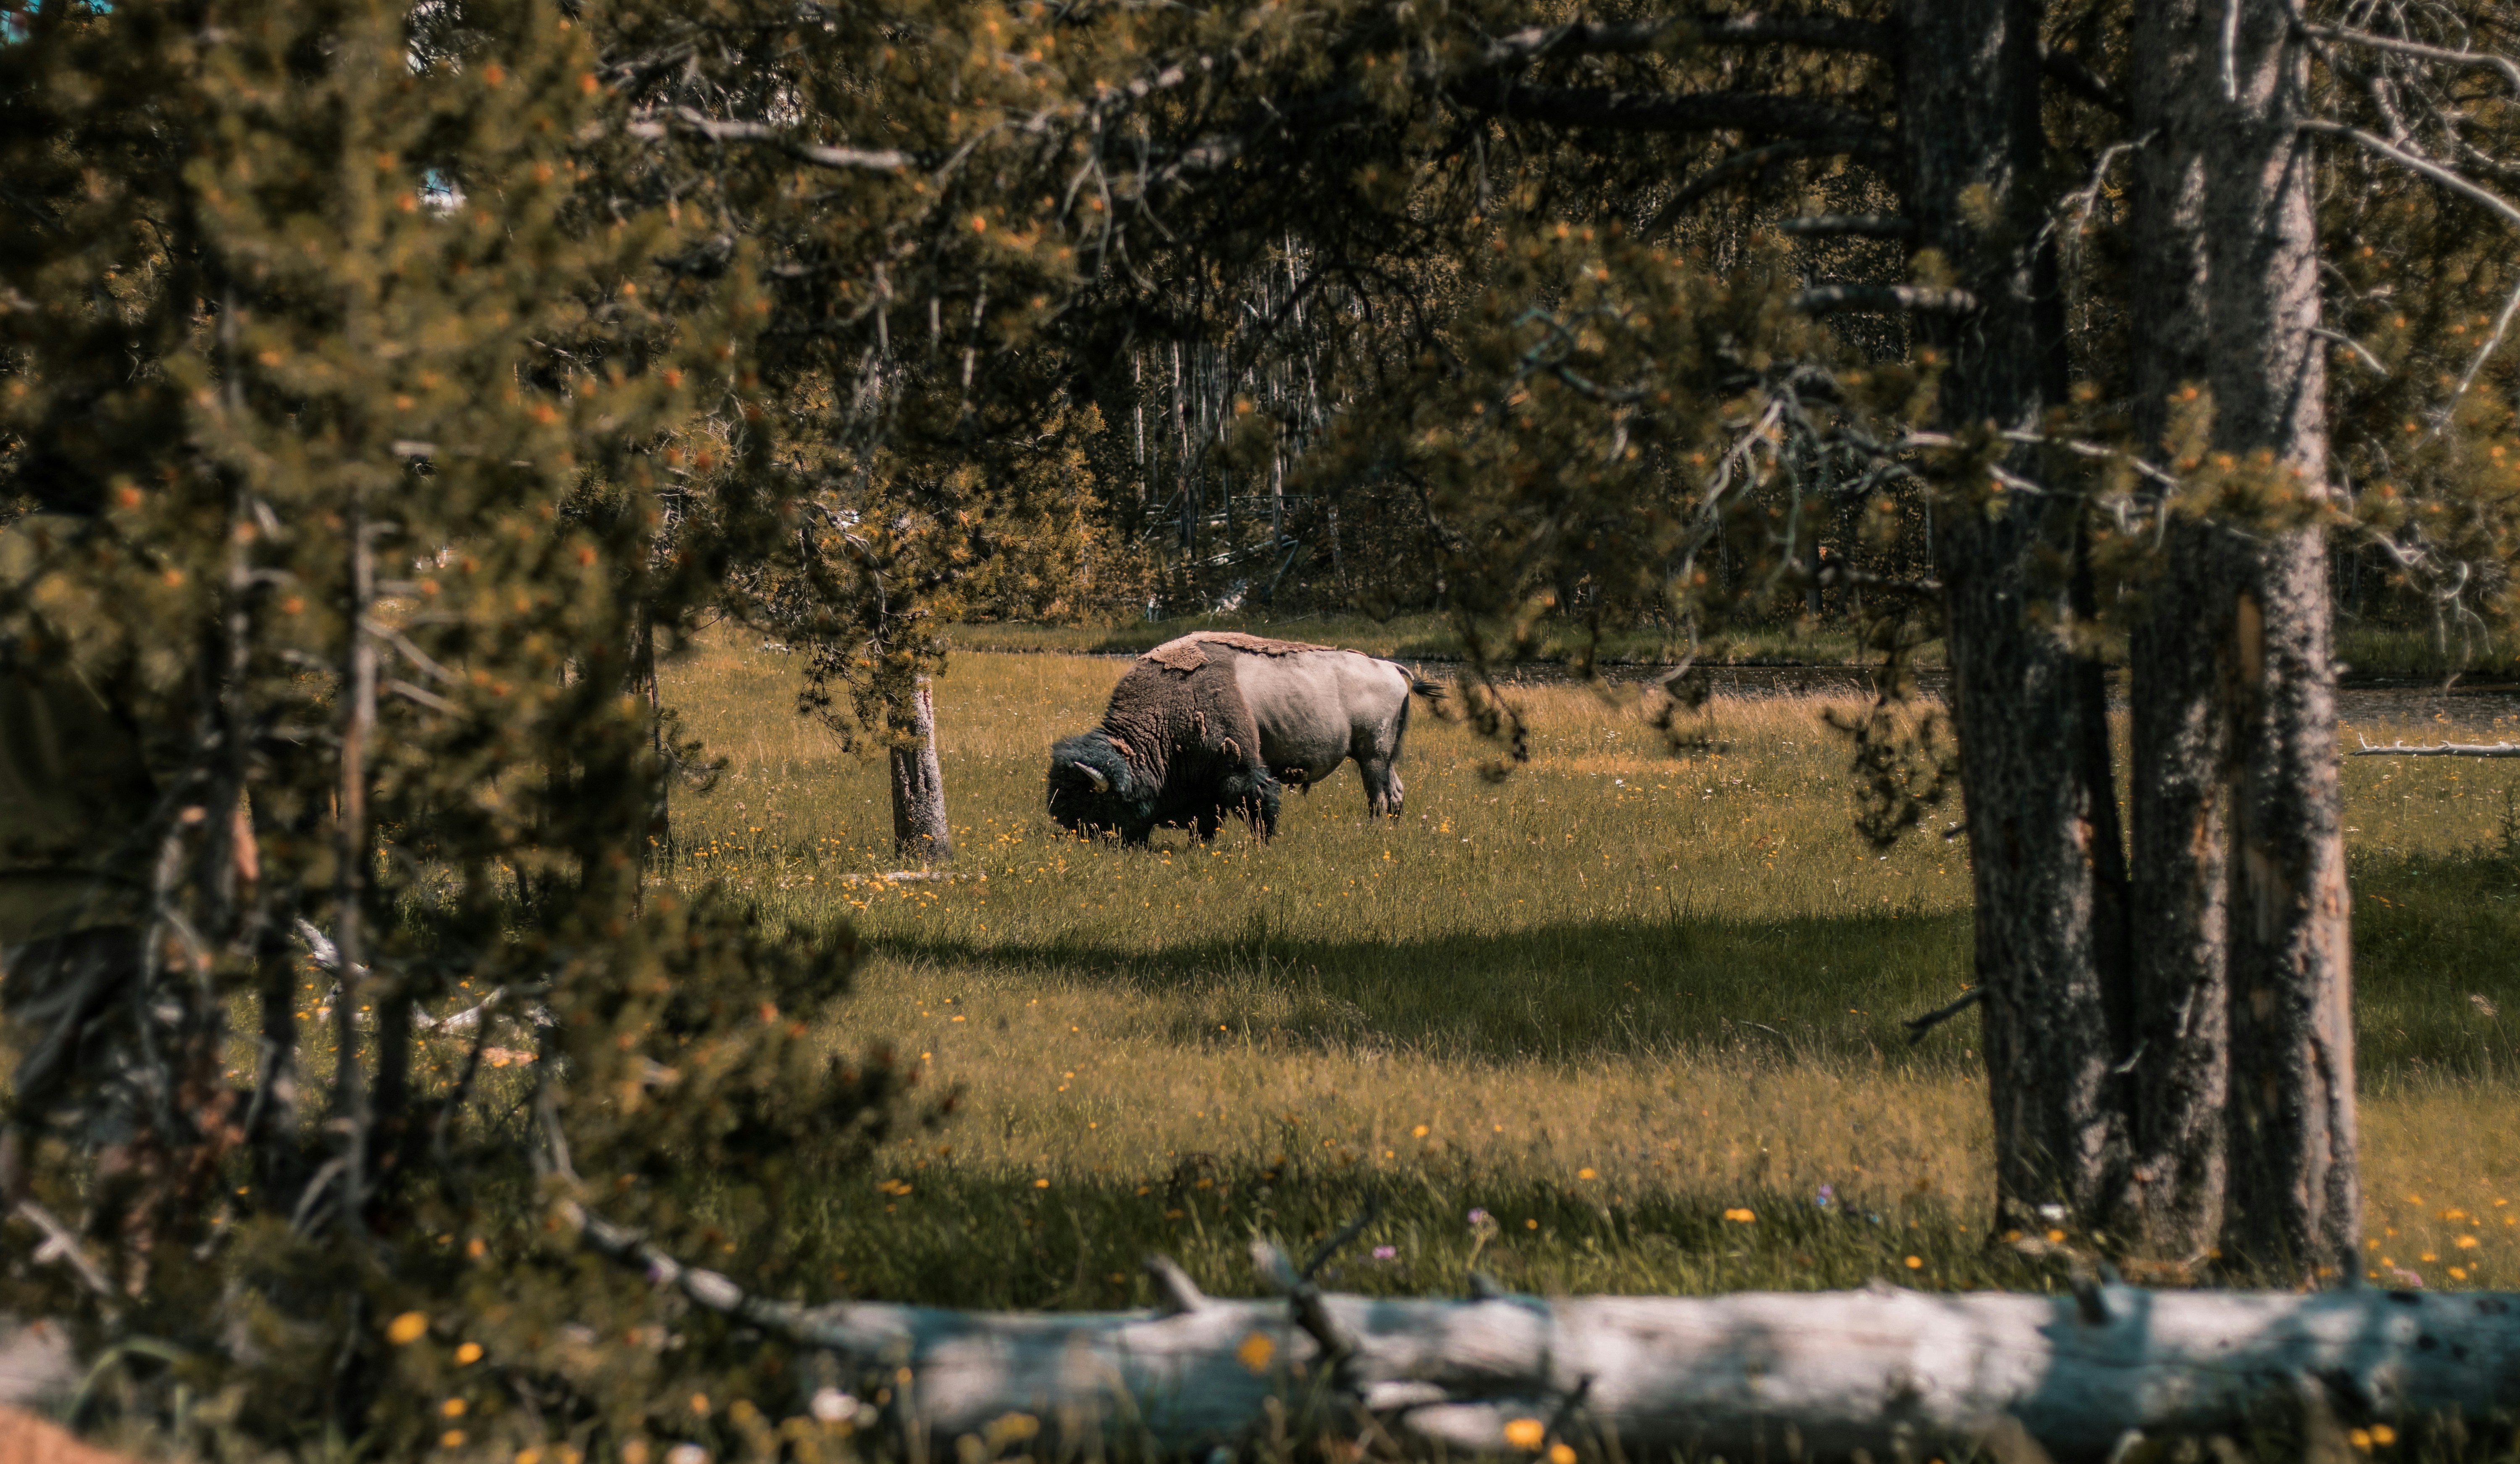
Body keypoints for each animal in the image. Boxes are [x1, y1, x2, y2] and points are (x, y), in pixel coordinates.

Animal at [1047, 632, 1440, 843]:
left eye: (1091, 803)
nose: (1074, 834)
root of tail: (1390, 667)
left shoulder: (1239, 770)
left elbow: (1256, 805)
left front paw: (1263, 843)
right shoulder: (1205, 782)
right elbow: (1207, 817)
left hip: (1371, 756)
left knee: (1379, 797)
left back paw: (1373, 832)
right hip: (1383, 758)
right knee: (1395, 792)